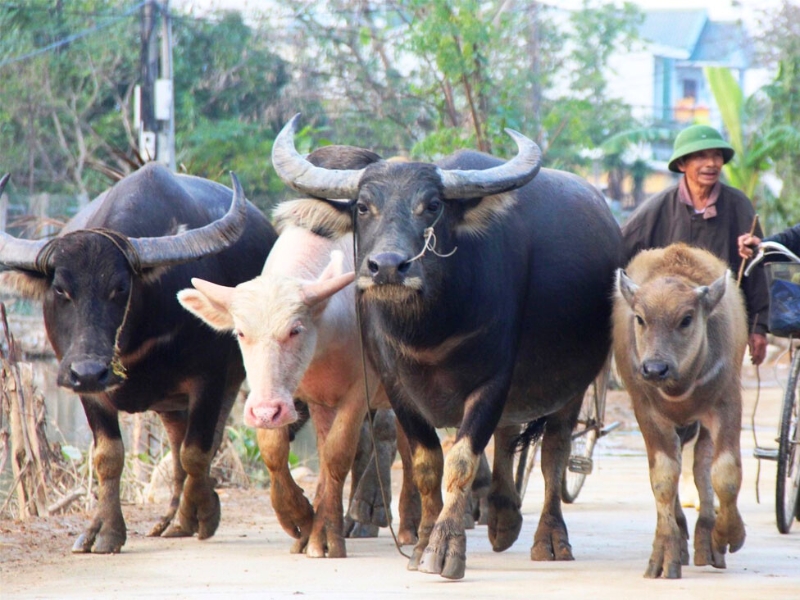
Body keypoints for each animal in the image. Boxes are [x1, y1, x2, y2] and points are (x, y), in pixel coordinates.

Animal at [0, 164, 278, 552]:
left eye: (120, 287)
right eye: (61, 289)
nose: (90, 371)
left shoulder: (209, 379)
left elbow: (197, 451)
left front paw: (205, 513)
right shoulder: (89, 390)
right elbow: (108, 456)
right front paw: (104, 530)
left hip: (229, 382)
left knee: (202, 444)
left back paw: (186, 516)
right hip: (169, 403)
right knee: (175, 447)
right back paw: (172, 520)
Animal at [270, 115, 624, 580]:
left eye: (433, 205)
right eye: (363, 206)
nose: (388, 267)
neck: (431, 329)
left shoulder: (492, 382)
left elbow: (461, 460)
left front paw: (445, 549)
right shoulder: (398, 387)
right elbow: (426, 463)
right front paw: (421, 544)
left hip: (574, 385)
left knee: (554, 452)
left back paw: (550, 539)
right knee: (509, 436)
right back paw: (503, 518)